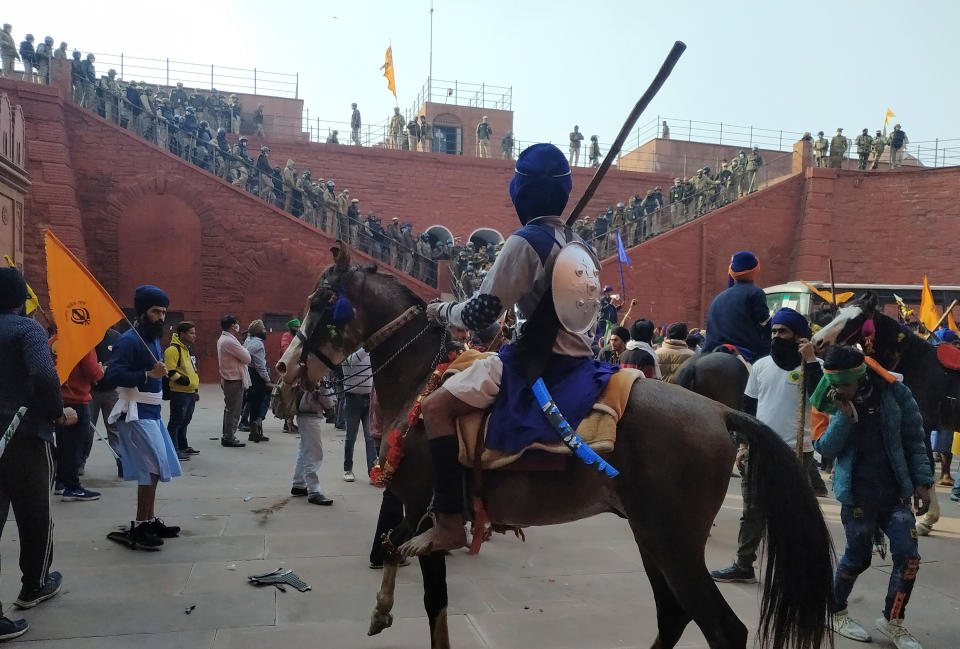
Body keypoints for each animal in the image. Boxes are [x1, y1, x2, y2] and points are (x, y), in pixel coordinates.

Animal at [276, 244, 832, 648]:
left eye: (321, 301)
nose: (285, 368)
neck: (420, 378)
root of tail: (718, 412)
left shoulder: (422, 507)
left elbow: (429, 594)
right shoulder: (415, 511)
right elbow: (397, 552)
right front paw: (381, 608)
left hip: (671, 540)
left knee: (722, 629)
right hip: (652, 535)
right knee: (675, 616)